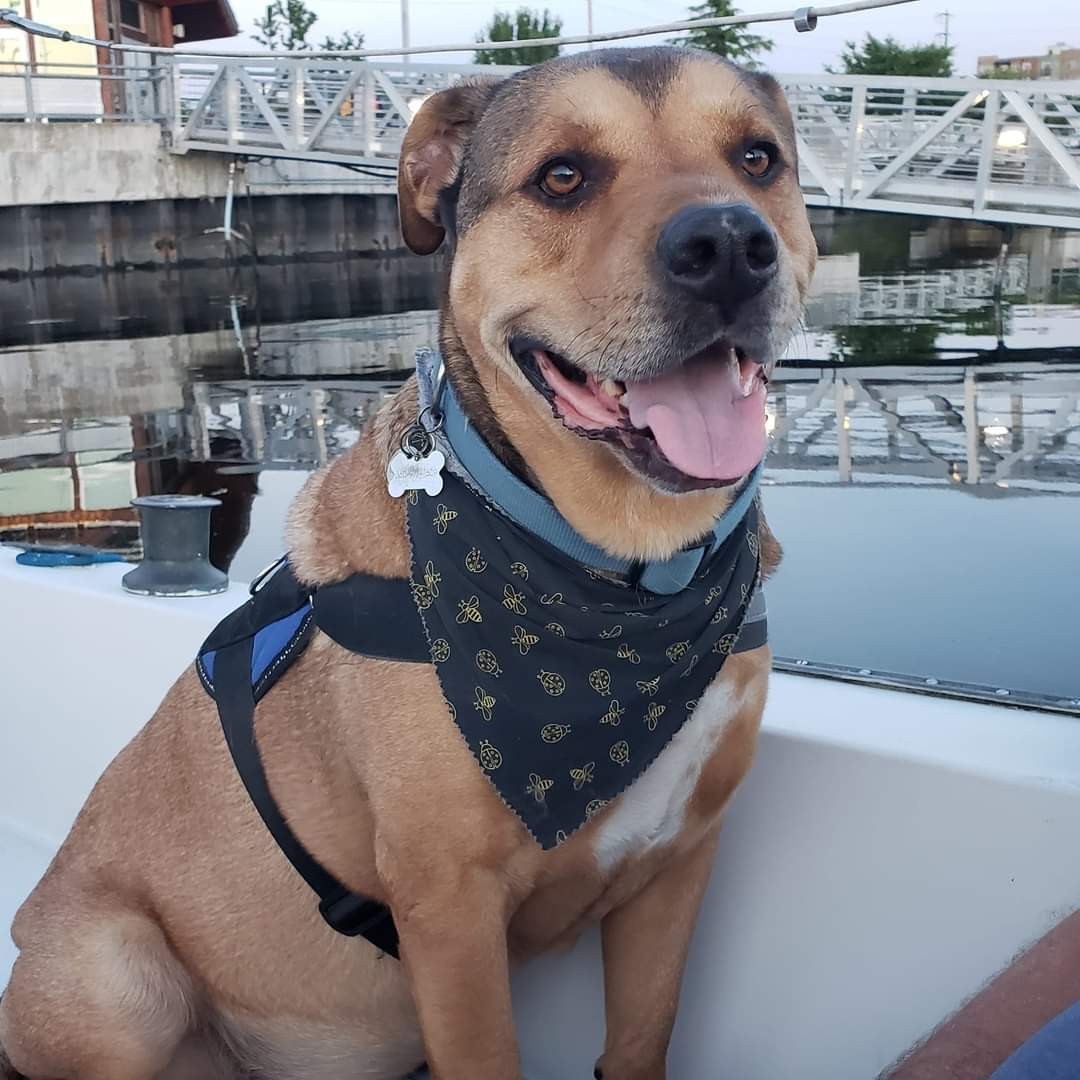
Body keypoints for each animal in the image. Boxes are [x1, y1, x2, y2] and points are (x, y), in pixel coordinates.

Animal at [0, 47, 815, 1080]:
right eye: (563, 176)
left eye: (758, 159)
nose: (728, 242)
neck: (627, 576)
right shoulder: (450, 911)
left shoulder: (676, 864)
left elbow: (641, 1037)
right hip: (116, 978)